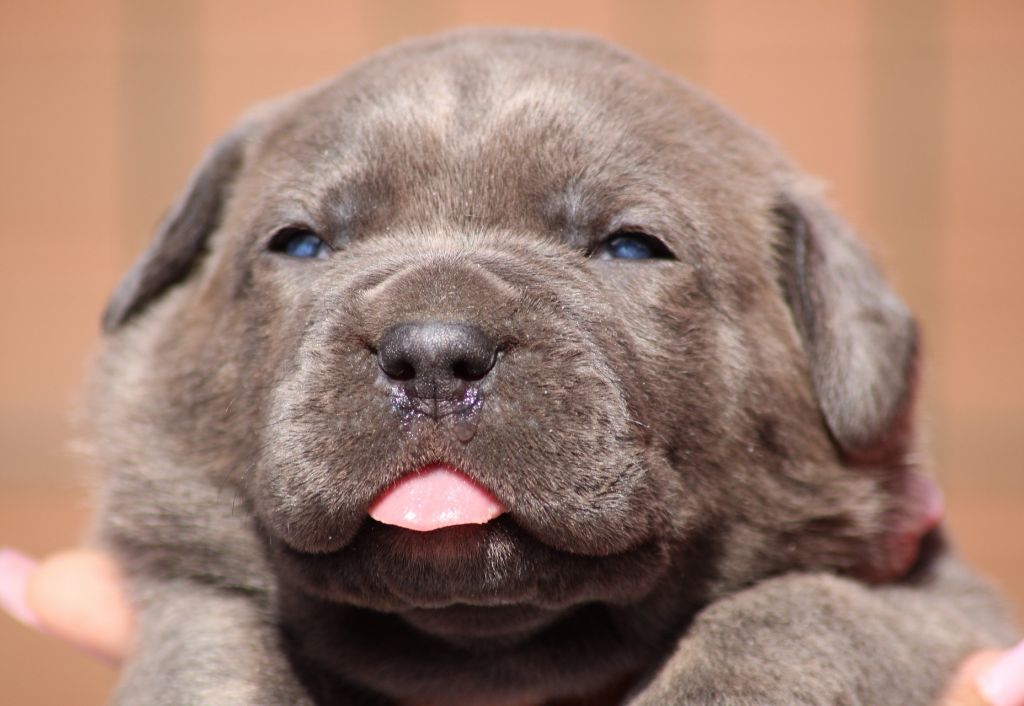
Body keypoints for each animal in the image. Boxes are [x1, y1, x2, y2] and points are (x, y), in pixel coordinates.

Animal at [90, 27, 1015, 704]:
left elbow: (797, 616)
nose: (432, 354)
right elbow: (212, 643)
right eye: (301, 242)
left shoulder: (936, 597)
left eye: (632, 247)